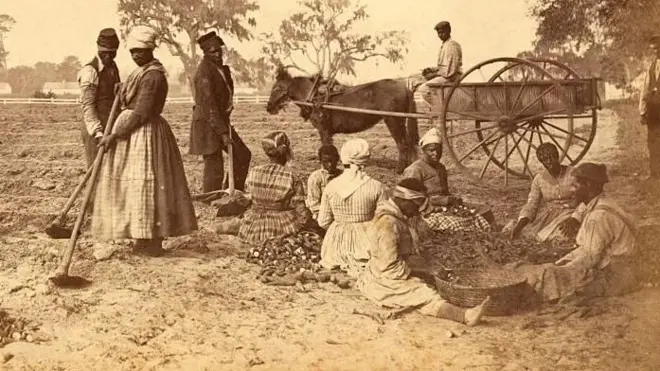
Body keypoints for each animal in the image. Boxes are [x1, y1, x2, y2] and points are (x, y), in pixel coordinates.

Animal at [266, 66, 420, 174]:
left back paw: (399, 169)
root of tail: (405, 87)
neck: (315, 98)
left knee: (402, 144)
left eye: (277, 87)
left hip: (393, 121)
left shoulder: (323, 130)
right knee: (409, 144)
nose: (269, 107)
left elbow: (326, 147)